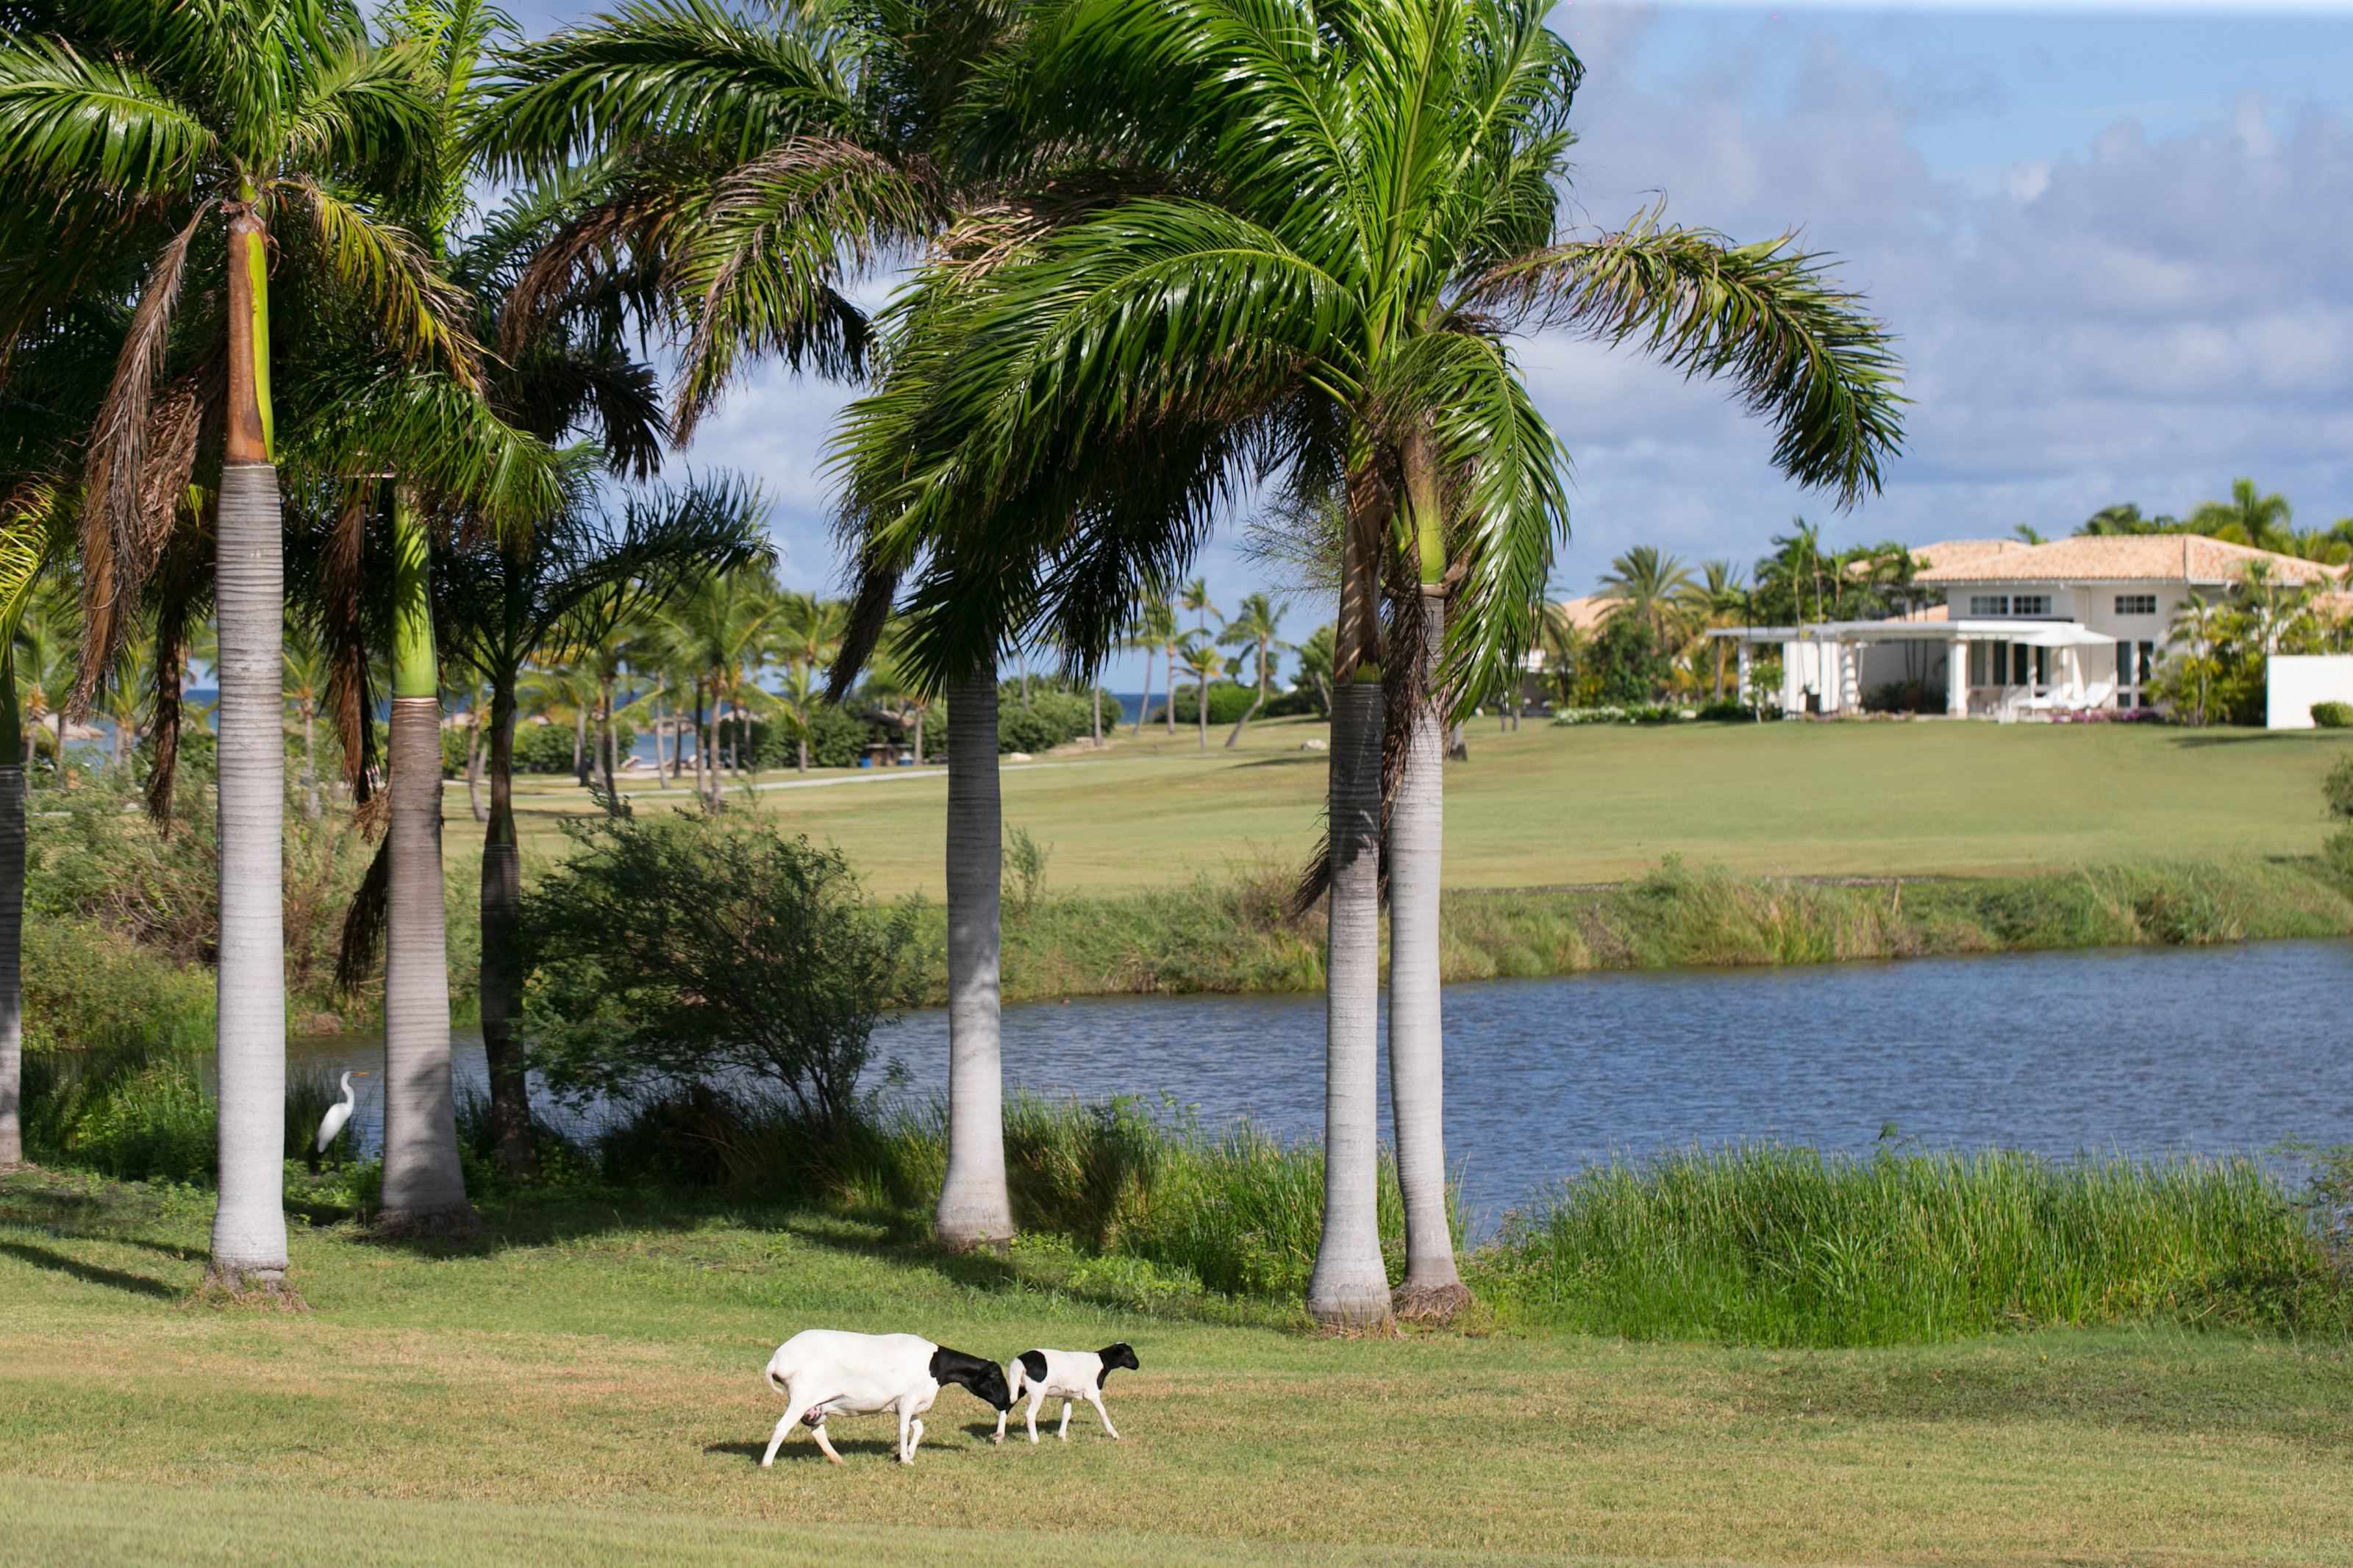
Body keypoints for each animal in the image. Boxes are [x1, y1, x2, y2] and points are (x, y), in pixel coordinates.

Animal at [759, 1329, 1012, 1466]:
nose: (1007, 1403)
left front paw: (905, 1455)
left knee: (817, 1431)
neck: (936, 1366)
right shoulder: (908, 1401)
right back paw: (766, 1464)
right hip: (802, 1396)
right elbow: (903, 1430)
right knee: (782, 1427)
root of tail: (777, 1359)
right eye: (996, 1377)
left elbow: (918, 1428)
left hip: (816, 1405)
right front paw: (906, 1460)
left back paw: (837, 1459)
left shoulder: (905, 1404)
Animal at [992, 1343, 1140, 1445]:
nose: (1137, 1365)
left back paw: (998, 1437)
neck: (1103, 1363)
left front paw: (1062, 1436)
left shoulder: (1069, 1394)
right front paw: (1114, 1434)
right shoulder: (1092, 1393)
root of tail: (1019, 1363)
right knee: (1030, 1414)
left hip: (1019, 1387)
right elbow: (1103, 1412)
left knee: (1006, 1406)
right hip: (1037, 1391)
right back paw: (1035, 1440)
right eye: (1129, 1354)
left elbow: (1066, 1414)